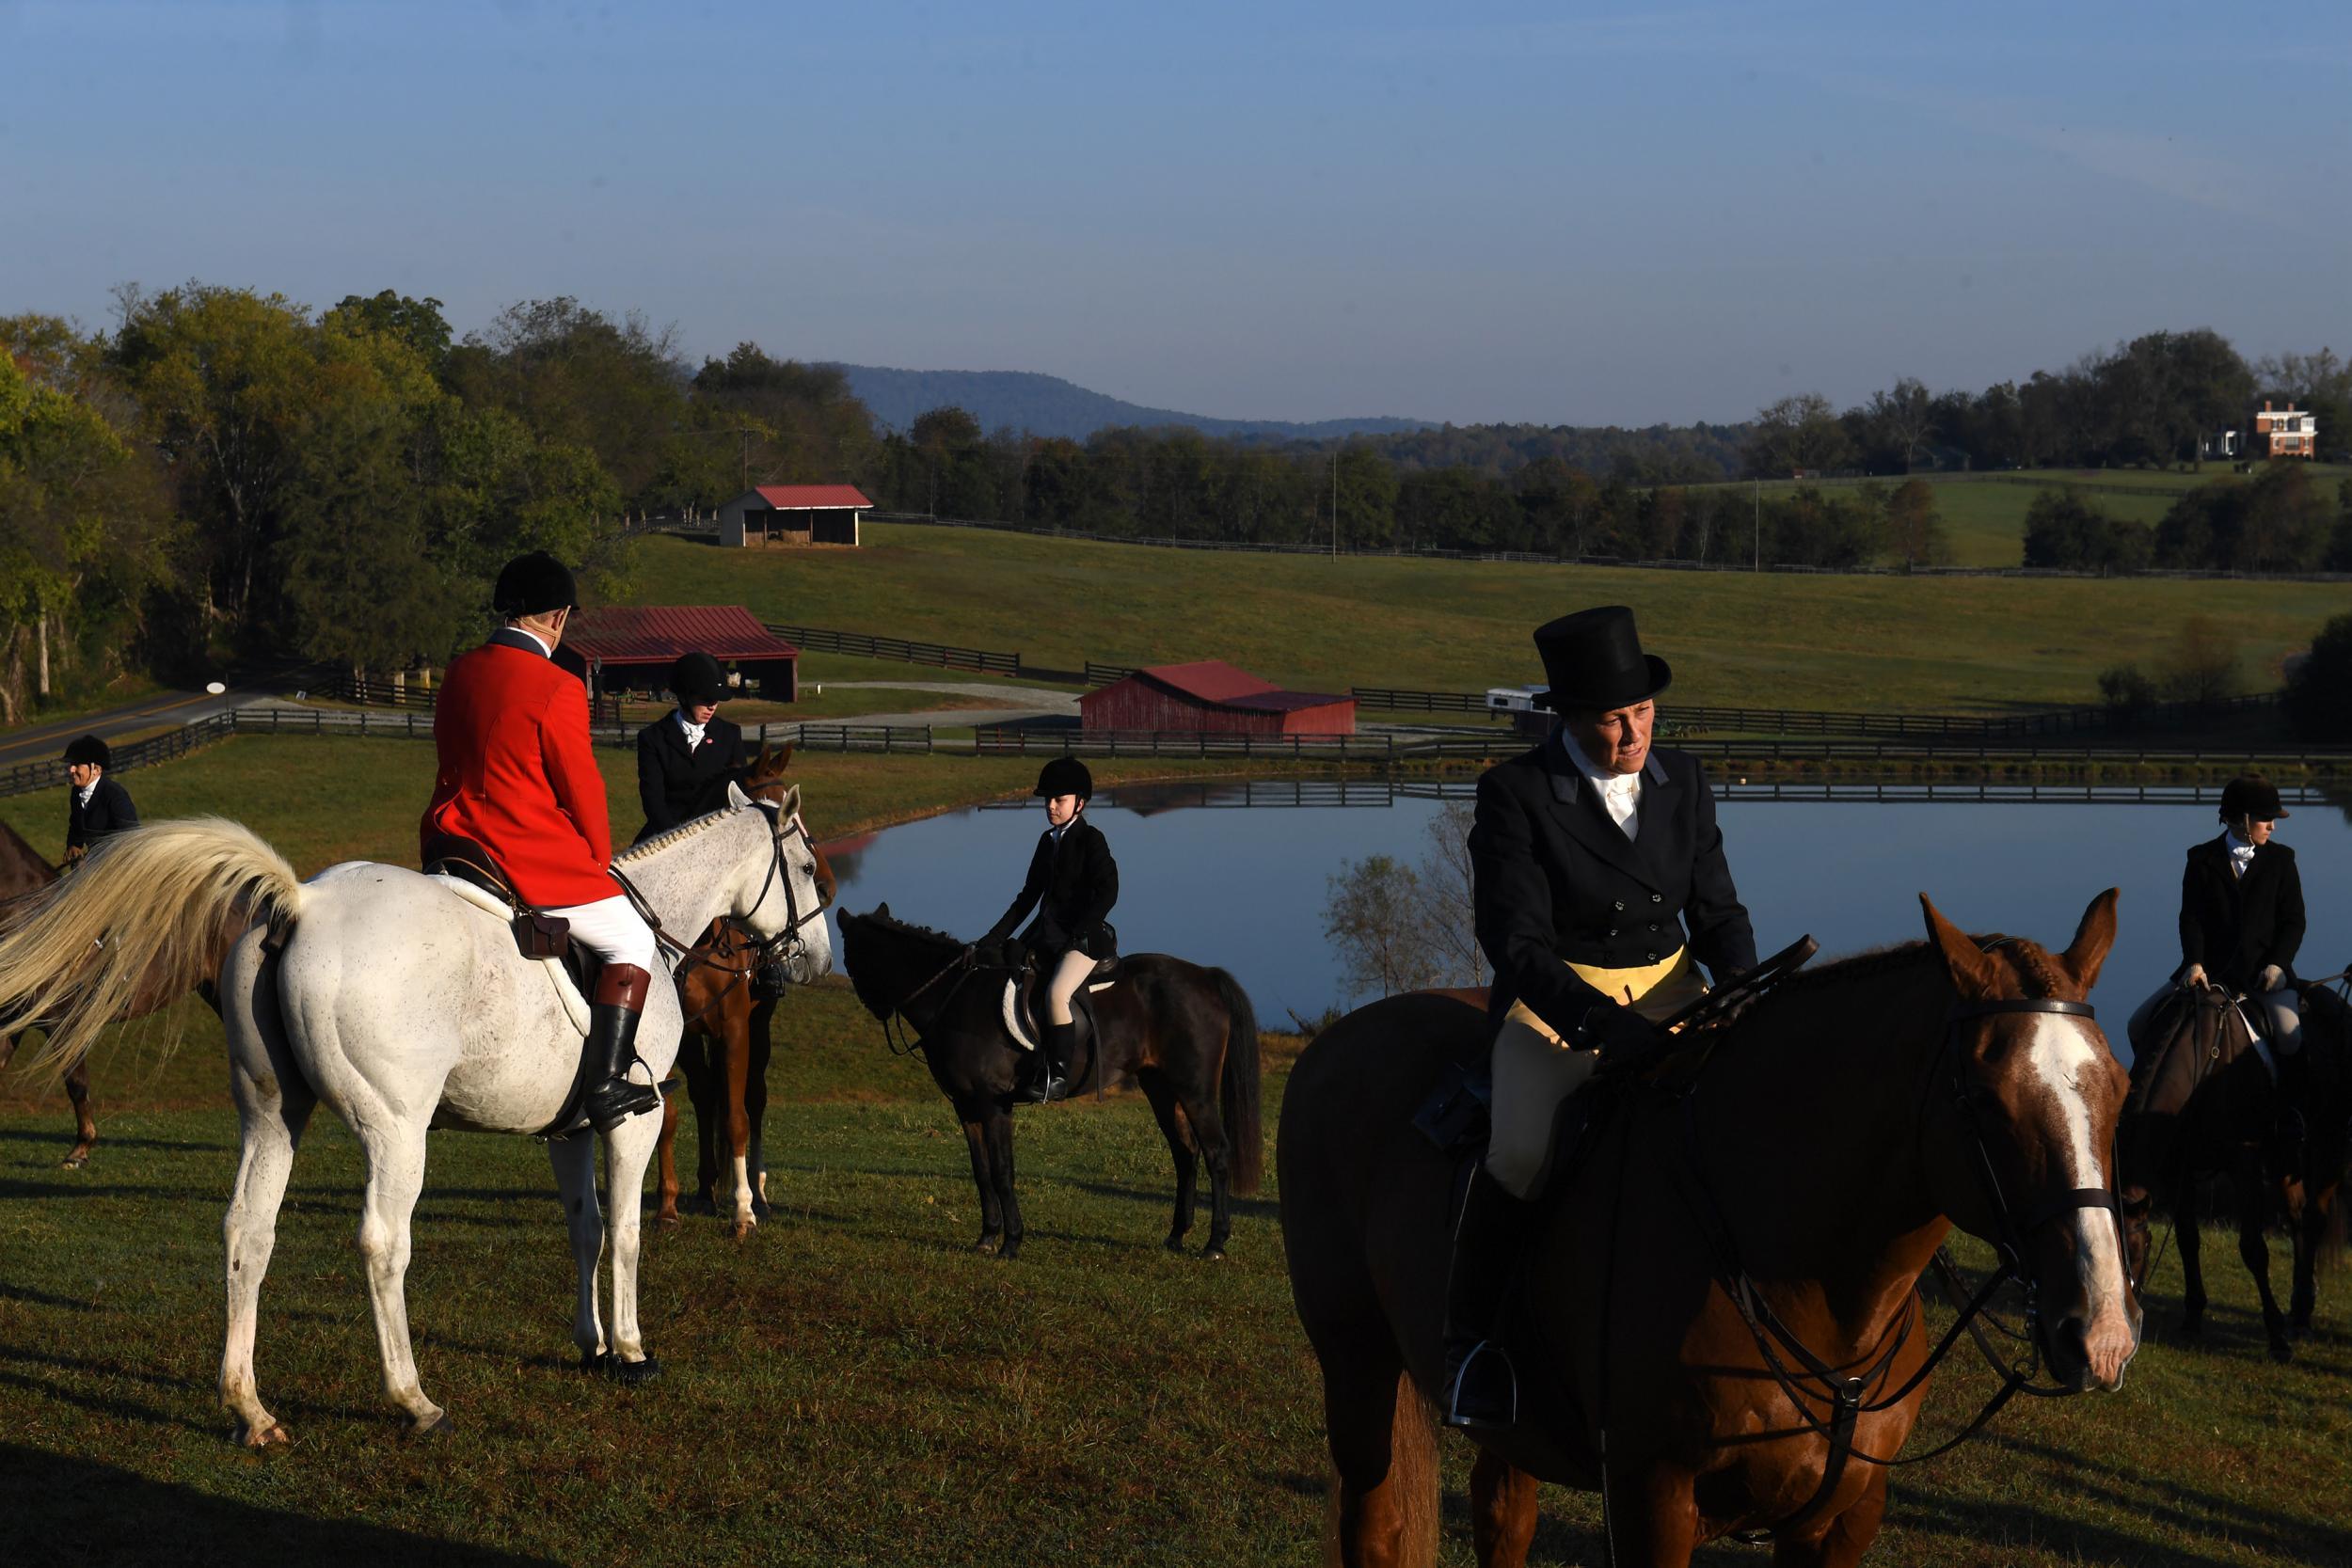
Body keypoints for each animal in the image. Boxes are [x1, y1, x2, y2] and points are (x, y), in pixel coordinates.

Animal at [0, 766, 833, 1438]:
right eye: (805, 866)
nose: (814, 962)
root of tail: (302, 900)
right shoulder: (634, 1116)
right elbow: (626, 1233)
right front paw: (628, 1349)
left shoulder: (568, 1131)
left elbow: (586, 1230)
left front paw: (590, 1343)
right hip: (397, 1129)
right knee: (382, 1243)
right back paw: (413, 1398)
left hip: (271, 1114)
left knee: (248, 1231)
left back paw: (250, 1408)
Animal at [837, 907, 1261, 1259]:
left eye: (849, 960)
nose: (877, 1009)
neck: (954, 996)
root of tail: (1204, 976)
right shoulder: (965, 1105)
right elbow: (980, 1171)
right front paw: (986, 1237)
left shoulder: (993, 1103)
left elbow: (1002, 1170)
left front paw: (1010, 1242)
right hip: (1159, 1087)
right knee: (1185, 1153)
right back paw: (1176, 1236)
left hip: (1195, 1090)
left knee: (1216, 1153)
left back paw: (1214, 1244)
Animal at [1279, 893, 2145, 1568]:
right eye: (1987, 1102)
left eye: (2120, 1087)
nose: (2101, 1330)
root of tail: (1338, 1039)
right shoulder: (1650, 1497)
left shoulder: (1844, 1516)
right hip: (1356, 1366)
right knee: (1373, 1526)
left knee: (1502, 1513)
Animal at [2126, 982, 2343, 1363]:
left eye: (2135, 1252)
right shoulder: (2178, 1167)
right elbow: (2188, 1238)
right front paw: (2193, 1315)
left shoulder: (2244, 1163)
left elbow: (2253, 1249)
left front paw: (2276, 1337)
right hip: (2284, 1156)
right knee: (2298, 1217)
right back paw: (2298, 1308)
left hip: (2327, 1141)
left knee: (2314, 1220)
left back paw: (2301, 1317)